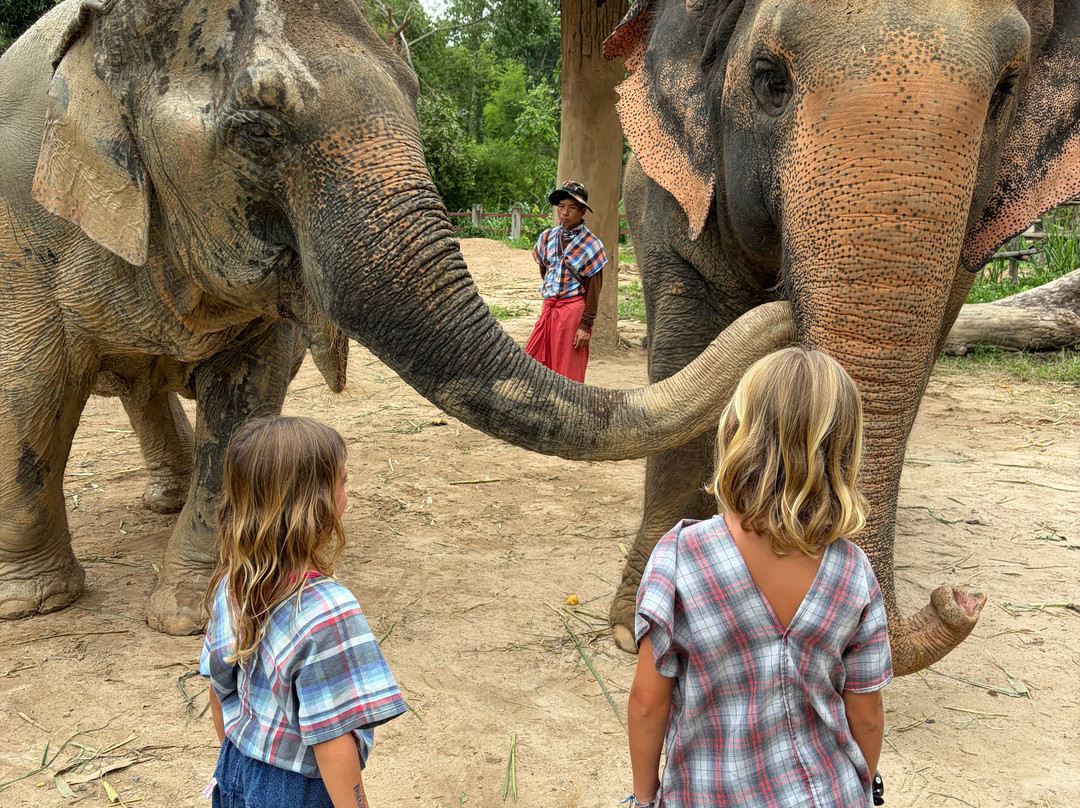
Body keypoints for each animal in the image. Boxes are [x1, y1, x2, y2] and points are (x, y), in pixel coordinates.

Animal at [0, 0, 798, 635]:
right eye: (257, 131)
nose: (787, 306)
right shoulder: (19, 213)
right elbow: (29, 381)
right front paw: (35, 605)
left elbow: (250, 393)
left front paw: (194, 614)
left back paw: (164, 502)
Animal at [601, 0, 1080, 675]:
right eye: (769, 79)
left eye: (1004, 94)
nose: (959, 599)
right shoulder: (681, 191)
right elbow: (691, 333)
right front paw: (635, 628)